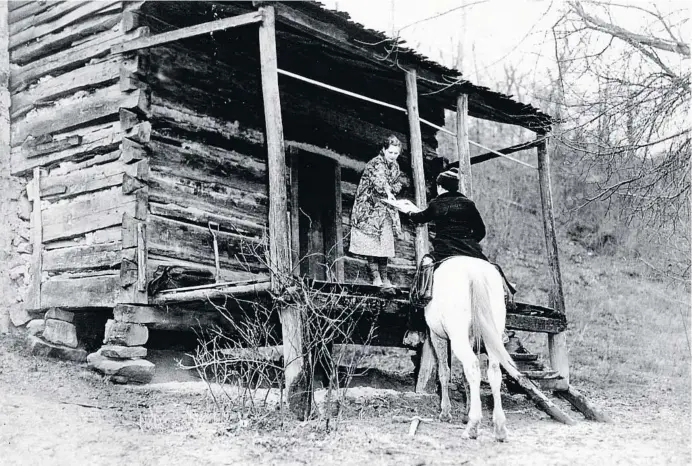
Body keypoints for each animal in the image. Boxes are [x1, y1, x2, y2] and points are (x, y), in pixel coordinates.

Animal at [424, 255, 520, 440]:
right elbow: (464, 377)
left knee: (473, 367)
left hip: (458, 338)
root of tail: (475, 272)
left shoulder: (437, 336)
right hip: (492, 337)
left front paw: (445, 412)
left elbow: (444, 372)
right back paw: (499, 428)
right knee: (493, 372)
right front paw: (465, 411)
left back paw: (473, 426)